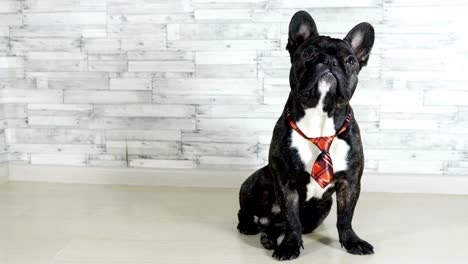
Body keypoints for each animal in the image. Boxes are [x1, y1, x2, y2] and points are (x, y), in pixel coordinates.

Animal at [236, 9, 374, 260]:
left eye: (350, 60)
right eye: (308, 52)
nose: (329, 61)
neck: (319, 117)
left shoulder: (350, 183)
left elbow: (345, 217)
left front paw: (352, 241)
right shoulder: (285, 182)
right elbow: (292, 219)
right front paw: (290, 245)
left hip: (321, 209)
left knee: (283, 225)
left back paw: (269, 237)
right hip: (255, 182)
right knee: (249, 213)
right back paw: (251, 227)